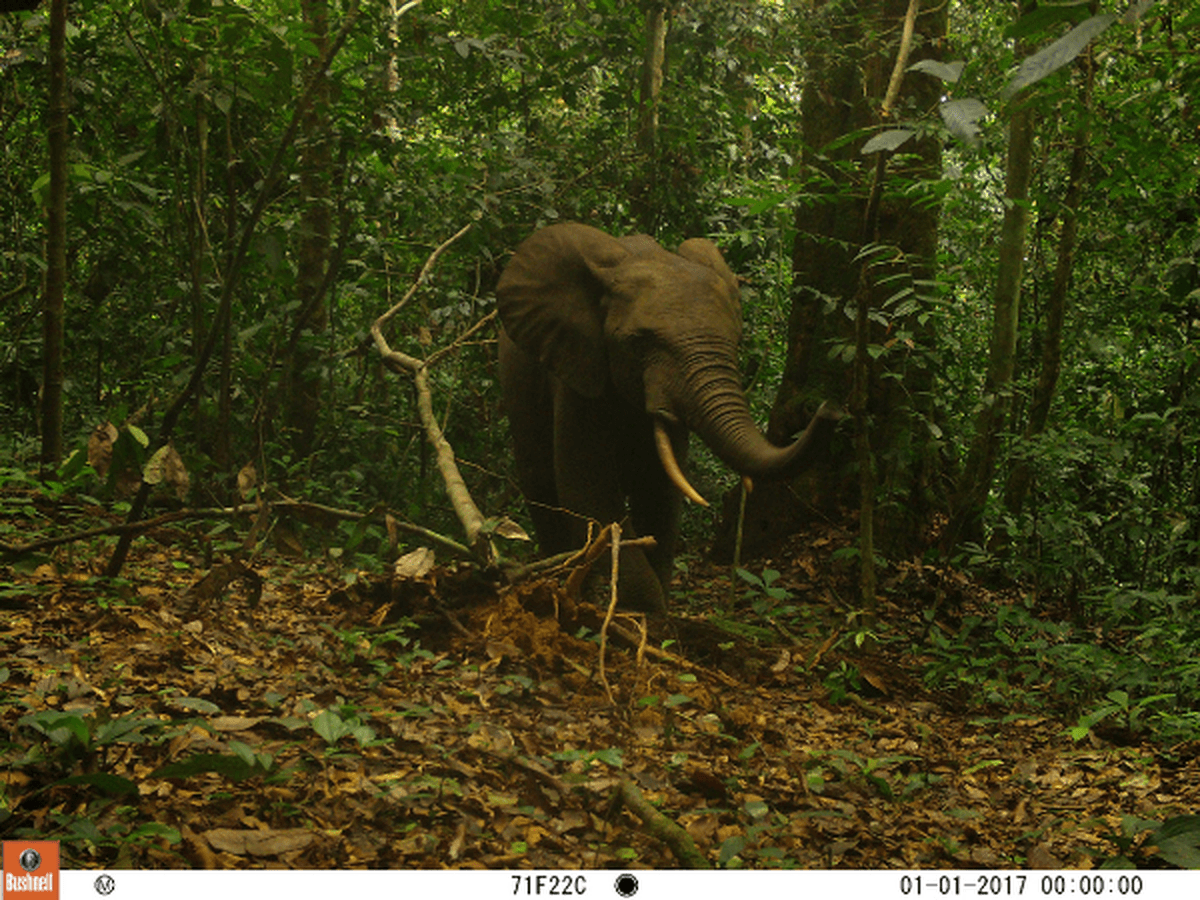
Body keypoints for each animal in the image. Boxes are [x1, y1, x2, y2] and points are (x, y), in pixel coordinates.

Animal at [496, 222, 839, 613]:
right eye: (638, 344)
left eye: (736, 341)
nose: (829, 407)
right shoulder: (578, 371)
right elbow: (588, 487)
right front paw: (642, 611)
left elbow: (659, 490)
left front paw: (653, 611)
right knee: (540, 482)